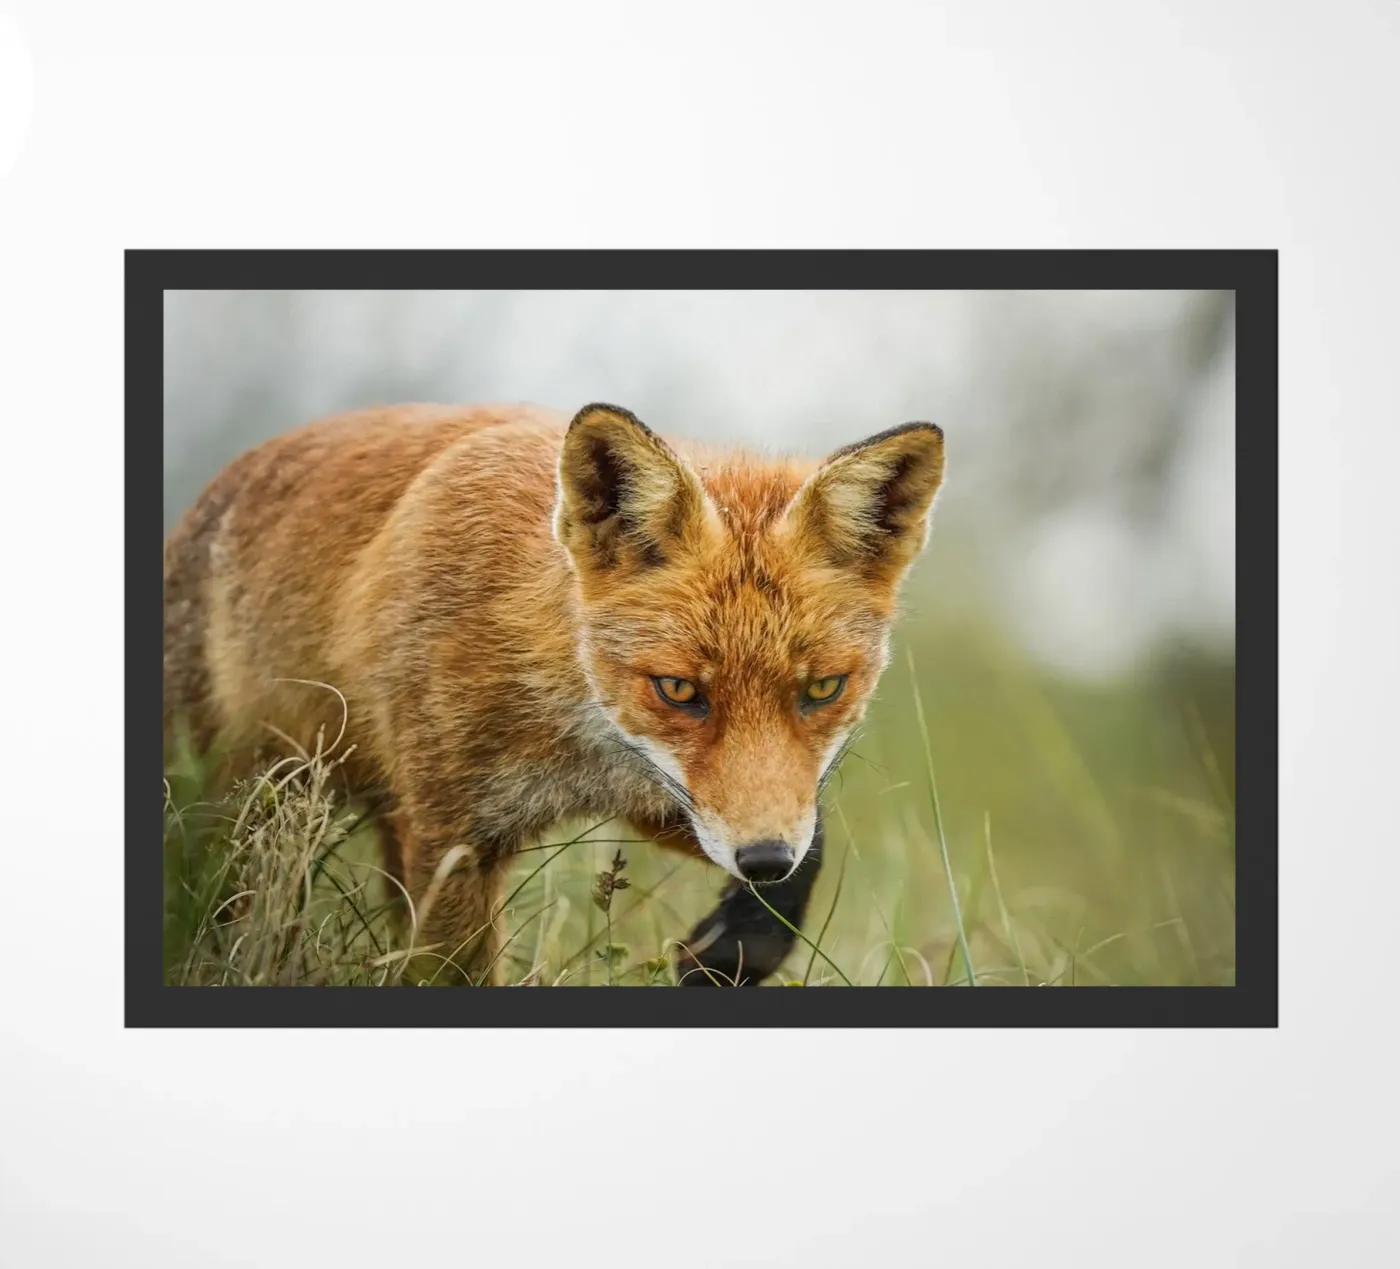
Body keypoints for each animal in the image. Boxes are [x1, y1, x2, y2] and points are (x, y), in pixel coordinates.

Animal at [163, 401, 945, 985]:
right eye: (678, 689)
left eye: (823, 688)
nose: (761, 859)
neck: (573, 734)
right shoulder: (452, 838)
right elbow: (453, 973)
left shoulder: (668, 799)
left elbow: (809, 855)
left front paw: (730, 951)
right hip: (243, 811)